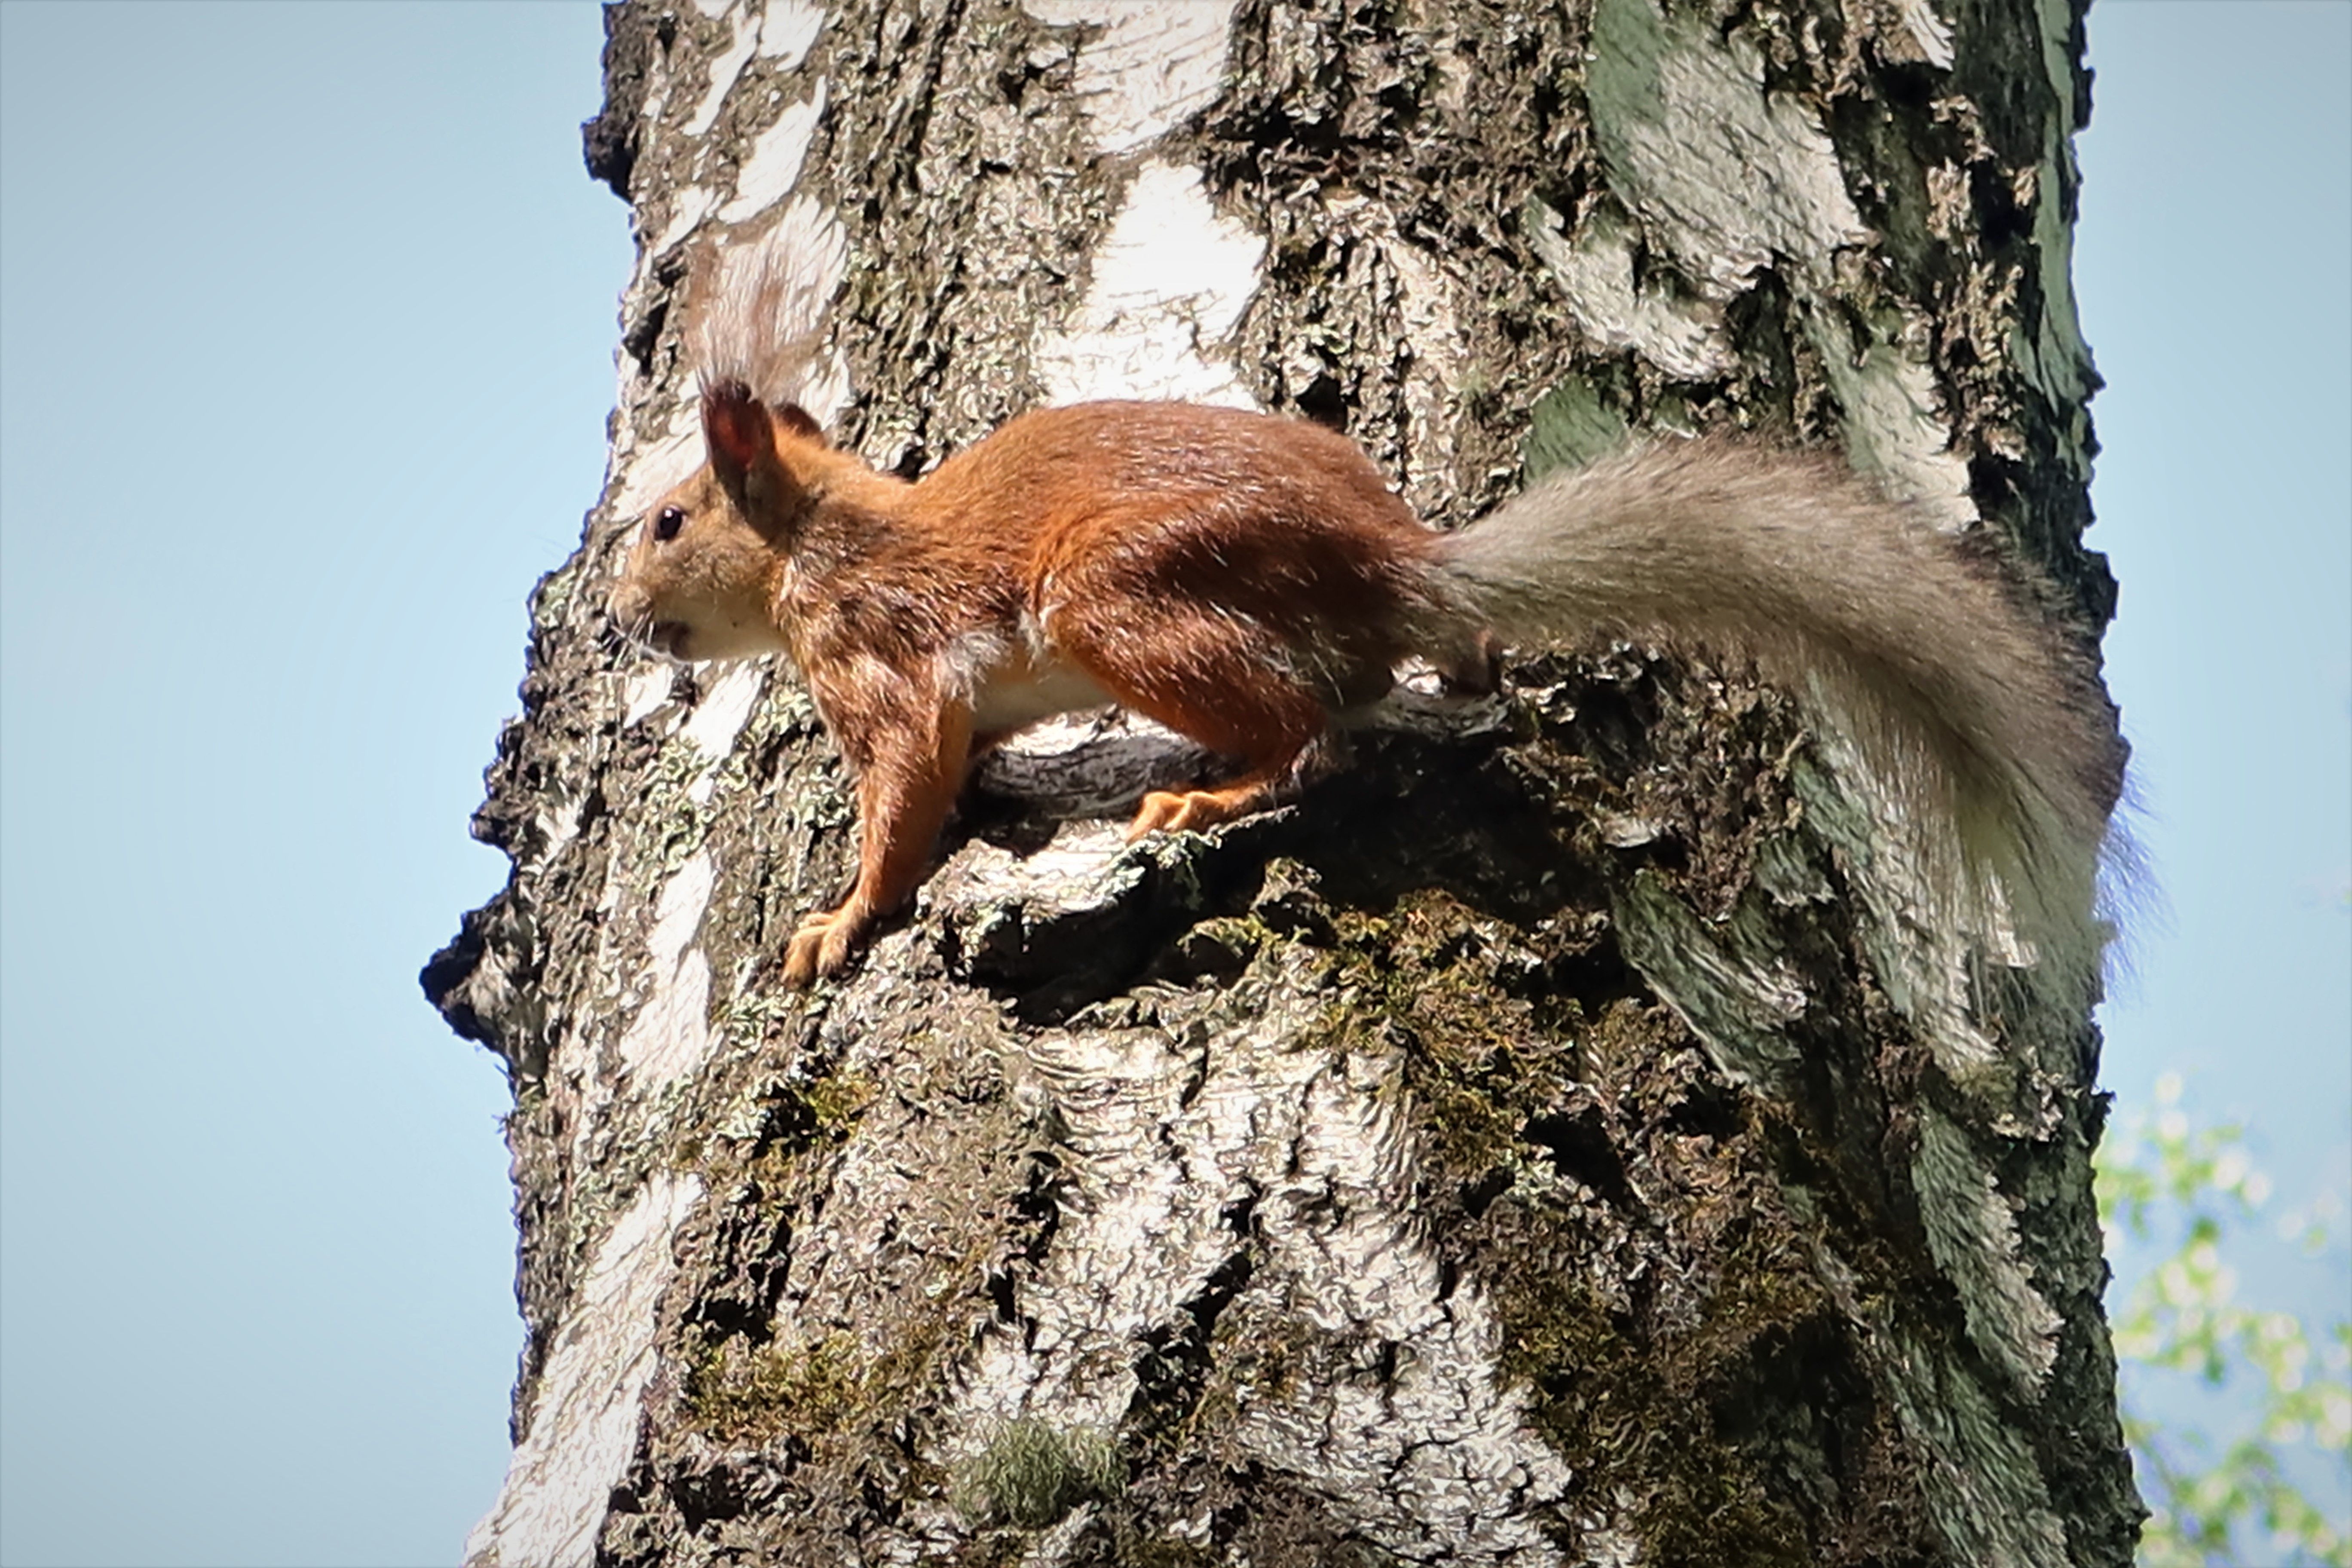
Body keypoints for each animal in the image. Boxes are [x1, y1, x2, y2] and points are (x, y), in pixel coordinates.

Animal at [602, 385, 2116, 987]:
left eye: (668, 521)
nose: (619, 622)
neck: (816, 537)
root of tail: (1398, 566)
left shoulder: (879, 656)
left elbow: (906, 792)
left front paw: (839, 921)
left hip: (1118, 599)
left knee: (1305, 734)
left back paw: (1211, 796)